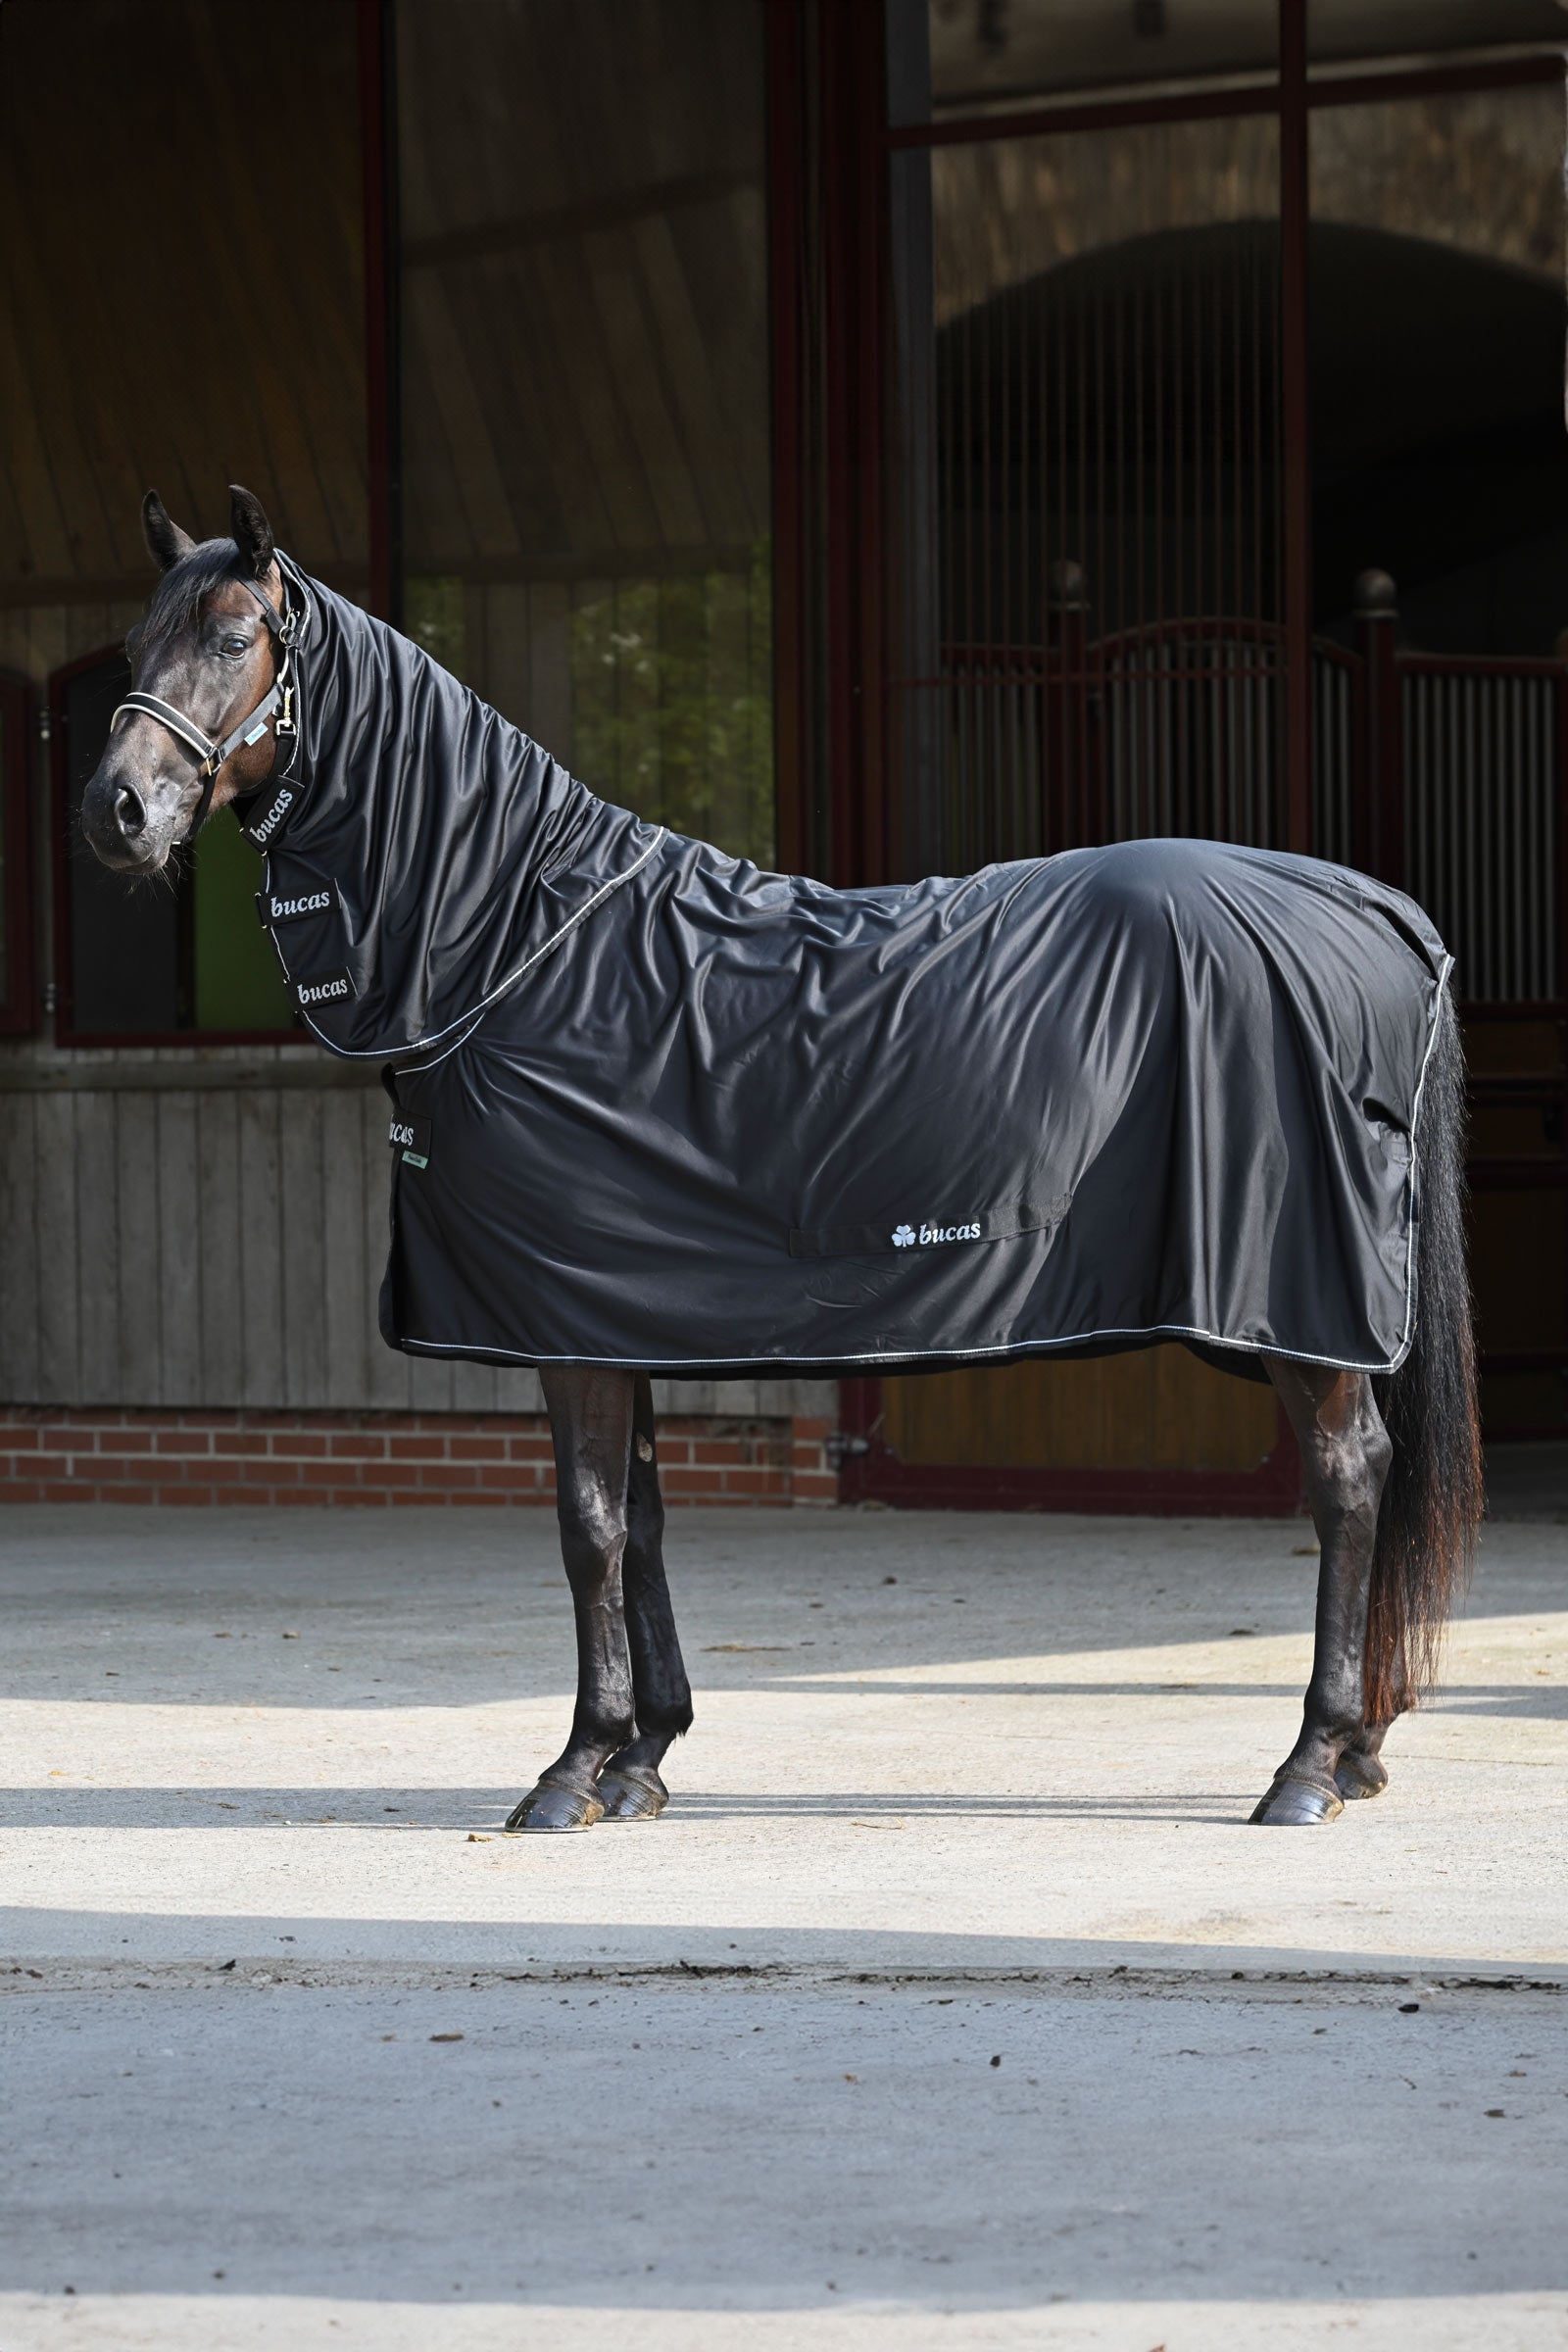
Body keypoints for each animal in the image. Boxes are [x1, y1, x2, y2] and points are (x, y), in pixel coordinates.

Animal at [81, 485, 1483, 1834]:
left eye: (232, 638)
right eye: (136, 643)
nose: (116, 812)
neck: (518, 944)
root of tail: (1374, 908)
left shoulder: (560, 1326)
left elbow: (587, 1529)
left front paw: (570, 1770)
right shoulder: (608, 1316)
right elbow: (641, 1524)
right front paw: (641, 1761)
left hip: (1297, 1305)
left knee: (1349, 1482)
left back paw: (1308, 1763)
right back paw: (1357, 1753)